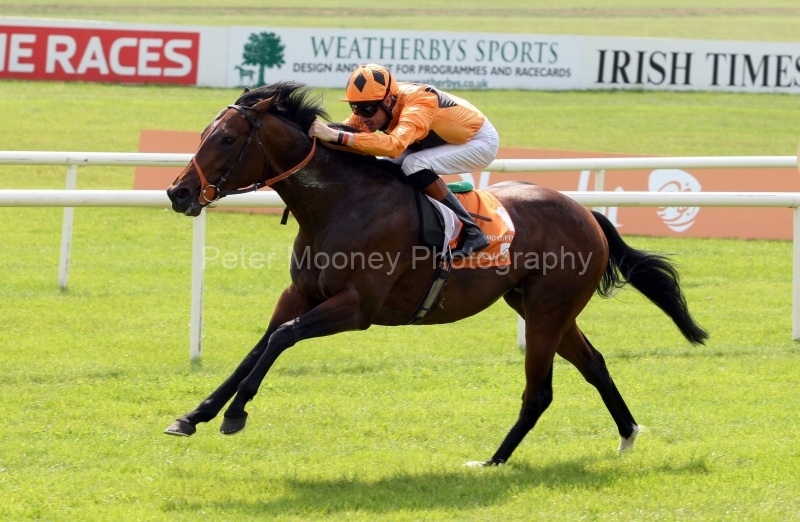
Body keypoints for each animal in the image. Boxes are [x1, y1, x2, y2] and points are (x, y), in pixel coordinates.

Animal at [164, 81, 708, 466]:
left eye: (227, 138)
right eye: (202, 135)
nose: (178, 192)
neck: (339, 204)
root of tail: (587, 213)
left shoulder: (357, 308)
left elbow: (282, 339)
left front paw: (235, 414)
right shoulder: (299, 293)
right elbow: (260, 345)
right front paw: (194, 415)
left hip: (547, 312)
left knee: (540, 391)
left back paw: (492, 461)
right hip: (541, 307)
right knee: (594, 364)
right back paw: (627, 436)